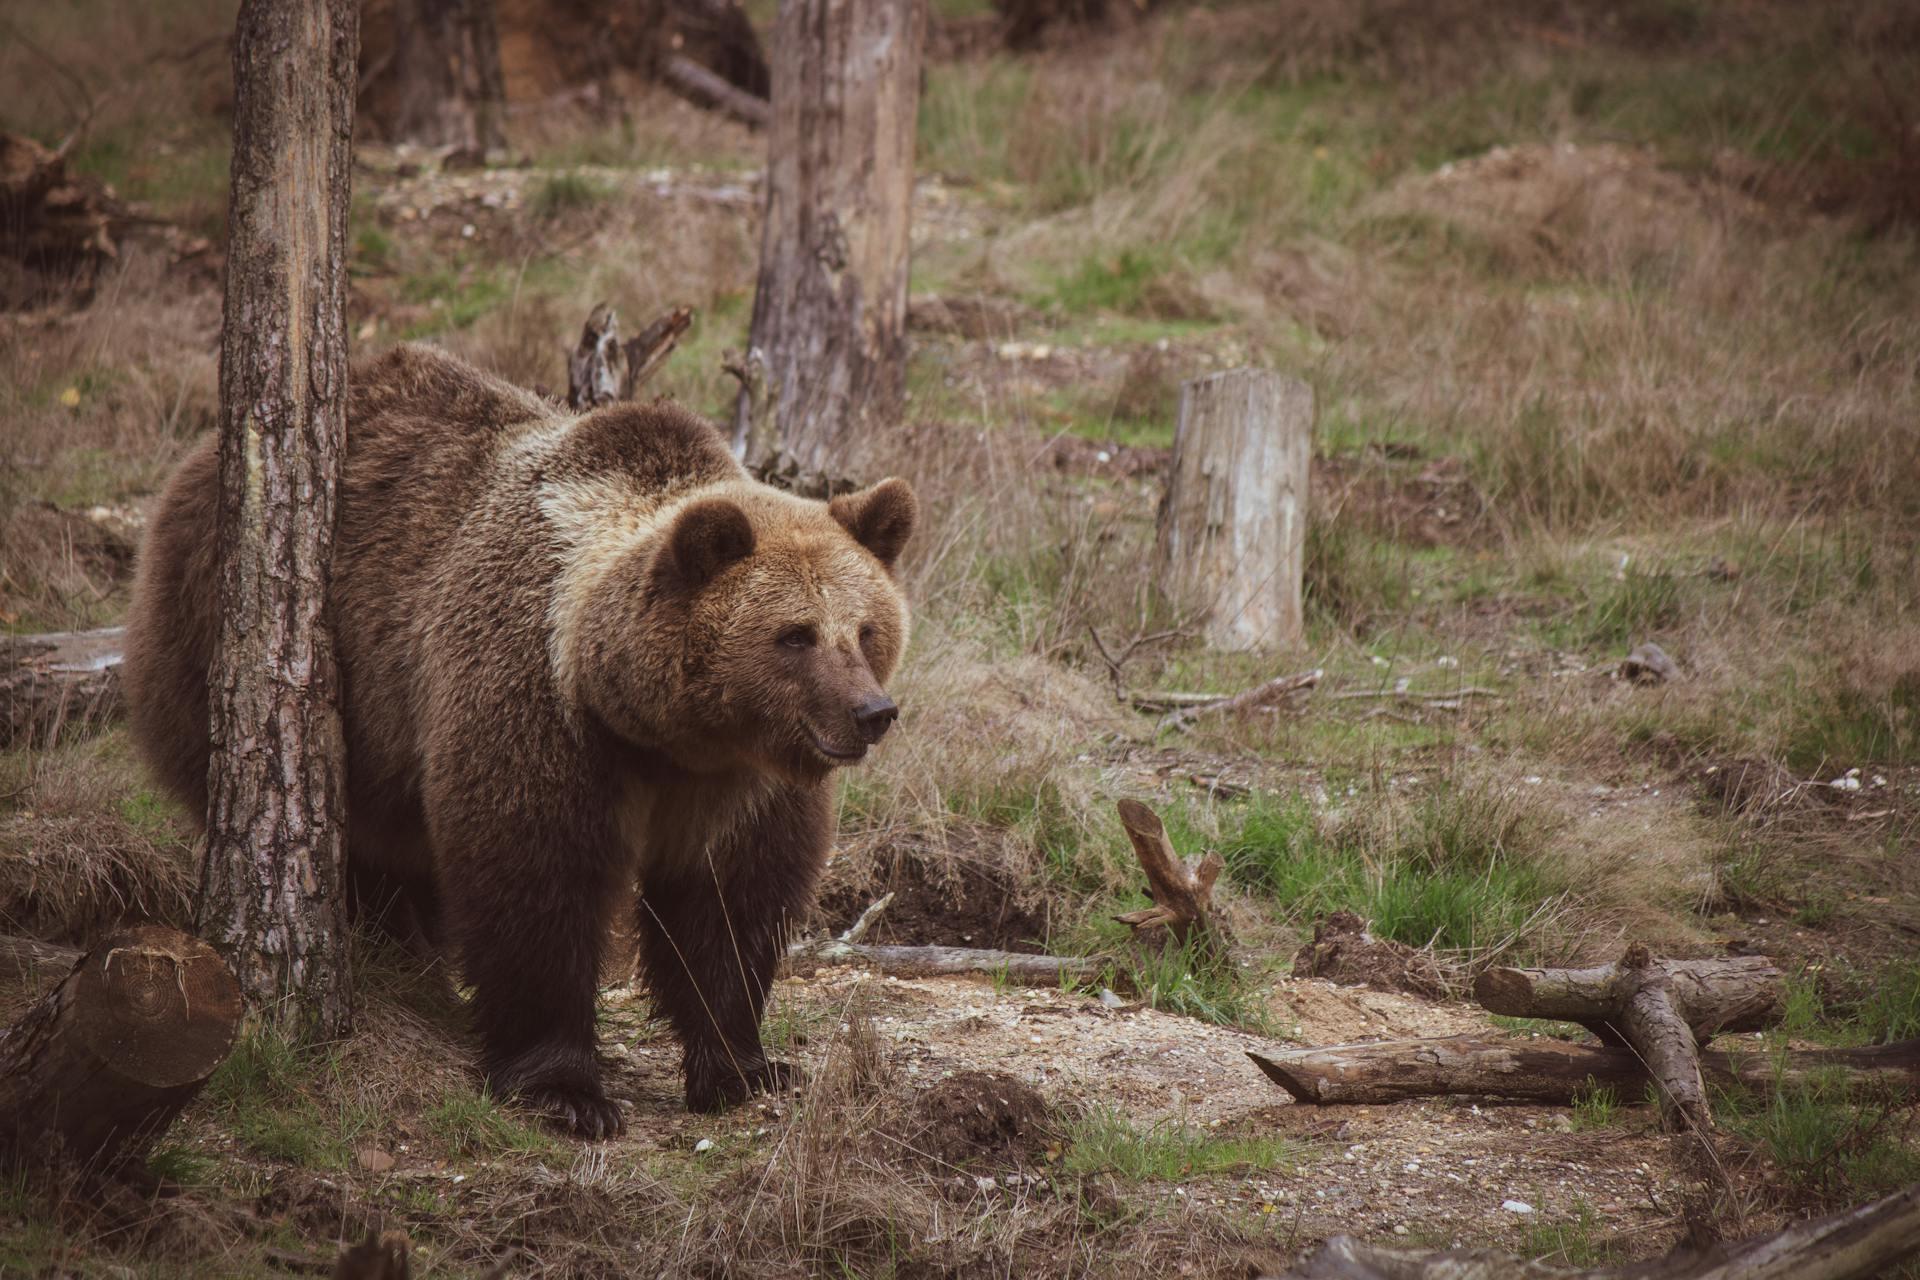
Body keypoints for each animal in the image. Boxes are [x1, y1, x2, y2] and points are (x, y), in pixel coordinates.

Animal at [123, 337, 917, 1128]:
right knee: (363, 843)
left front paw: (745, 1066)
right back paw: (397, 950)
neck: (659, 731)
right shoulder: (537, 707)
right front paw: (565, 1089)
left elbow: (728, 903)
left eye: (866, 629)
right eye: (795, 635)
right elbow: (534, 879)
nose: (871, 712)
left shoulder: (740, 782)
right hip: (235, 644)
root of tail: (195, 464)